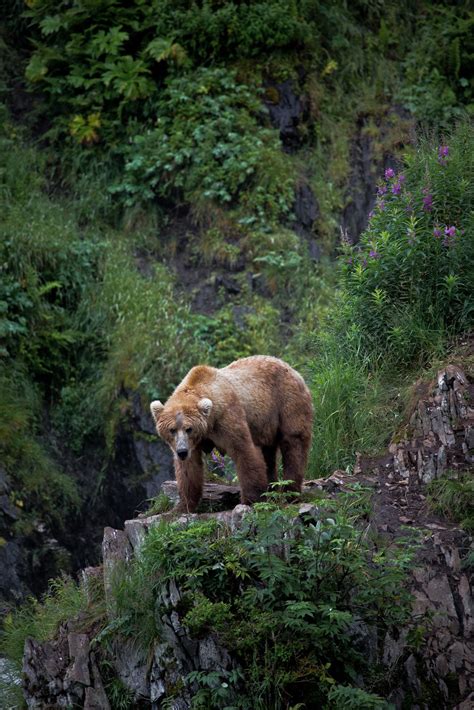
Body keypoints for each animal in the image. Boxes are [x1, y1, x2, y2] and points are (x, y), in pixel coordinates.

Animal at [152, 358, 312, 516]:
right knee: (269, 455)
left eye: (189, 429)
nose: (182, 451)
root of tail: (292, 369)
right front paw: (180, 508)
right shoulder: (193, 444)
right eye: (172, 430)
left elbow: (244, 451)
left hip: (286, 402)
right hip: (266, 423)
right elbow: (188, 470)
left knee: (293, 444)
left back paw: (290, 492)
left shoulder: (227, 417)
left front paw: (251, 501)